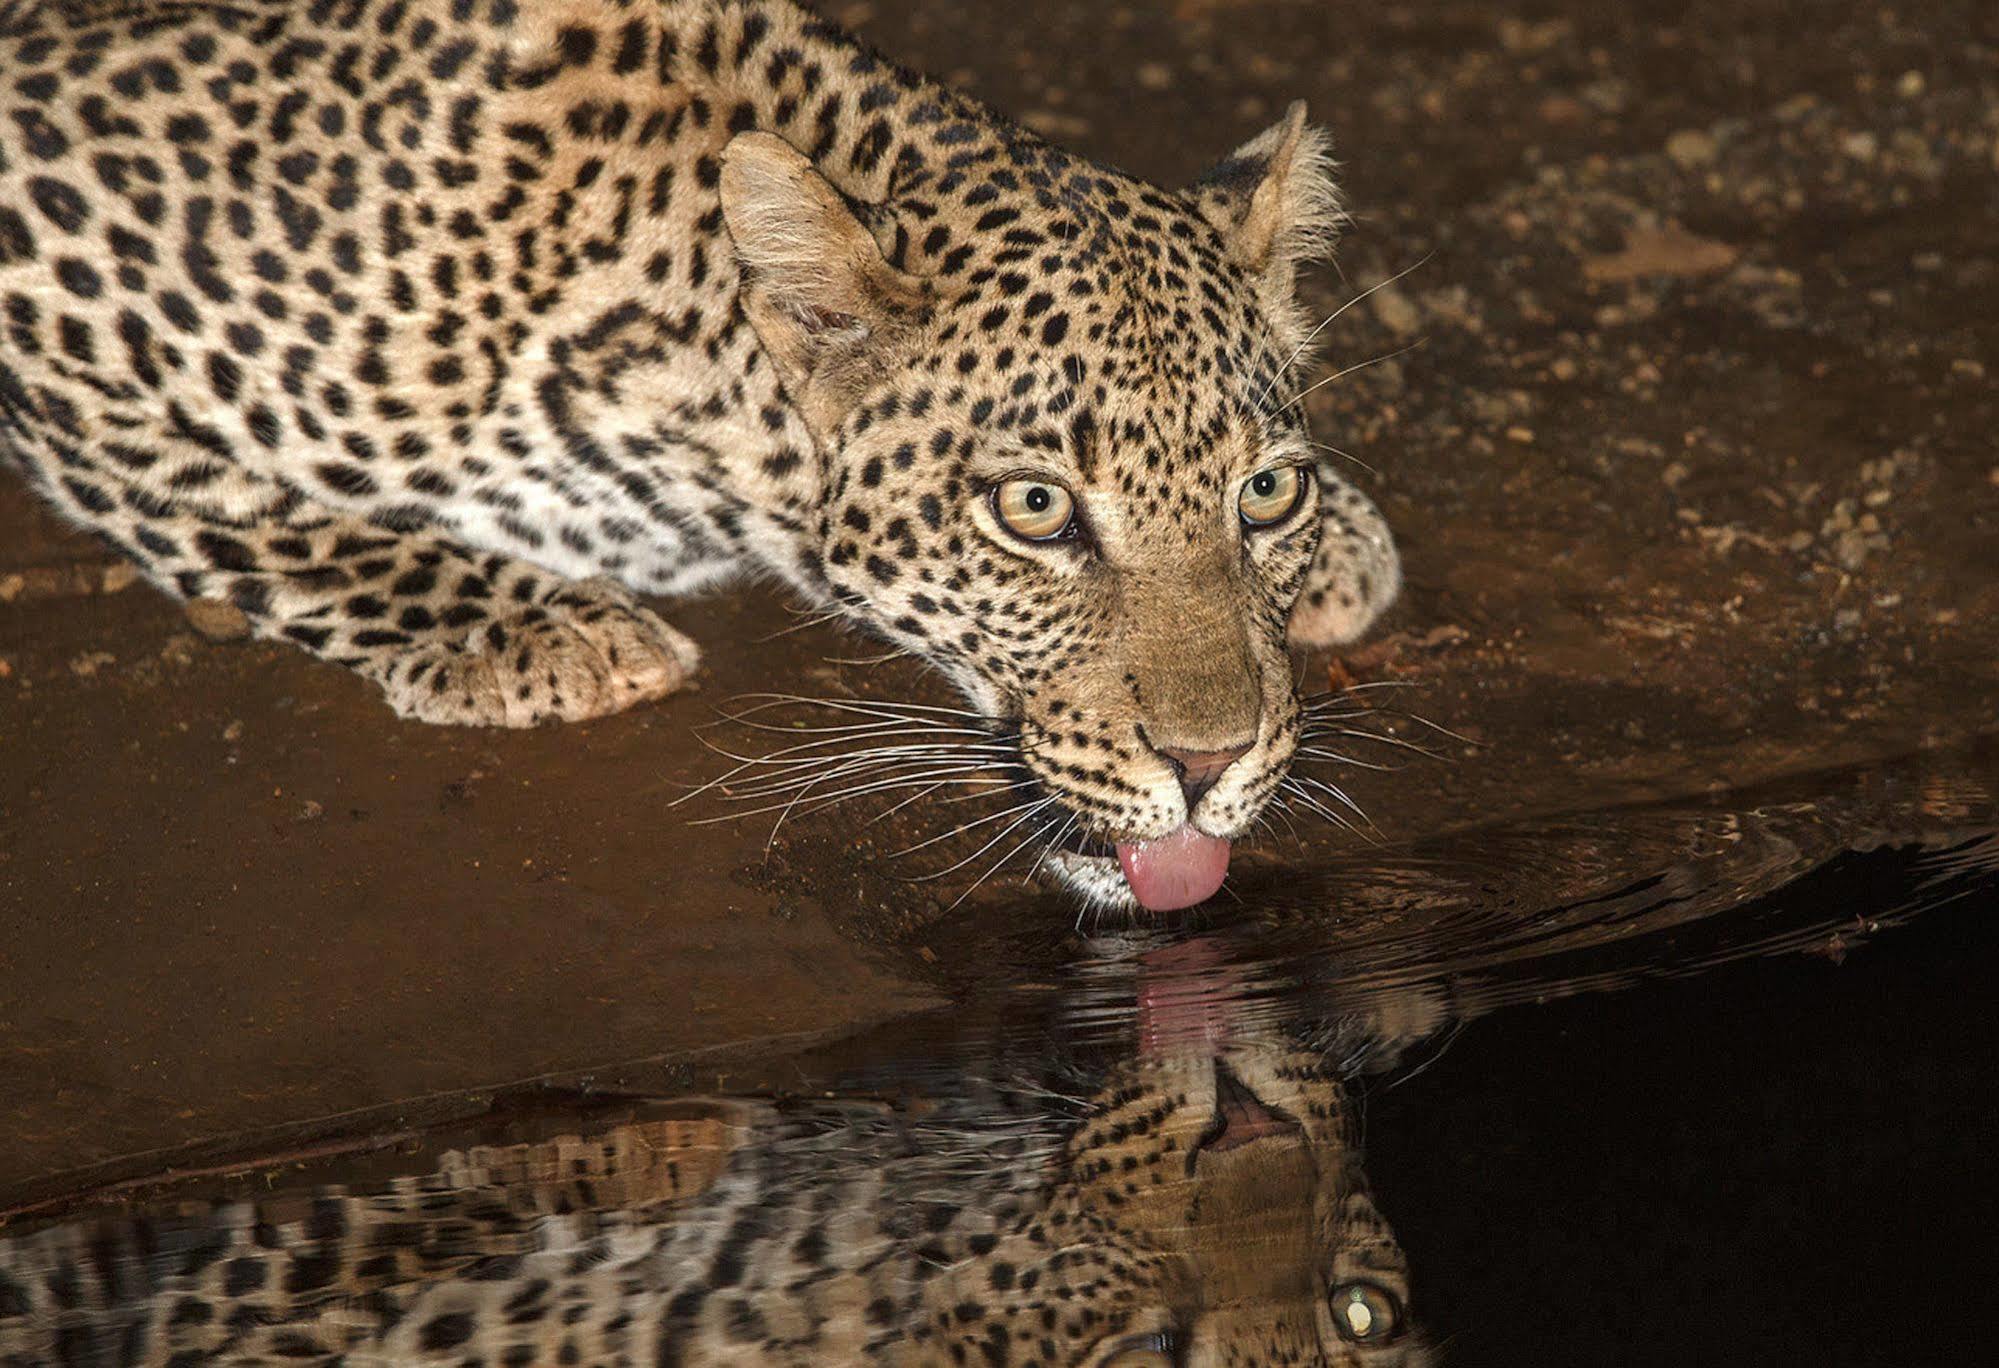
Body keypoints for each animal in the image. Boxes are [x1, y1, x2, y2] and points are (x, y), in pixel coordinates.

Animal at [0, 2, 1407, 920]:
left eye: (1265, 492)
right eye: (1034, 510)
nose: (1210, 768)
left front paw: (1341, 541)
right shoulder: (57, 240)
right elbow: (214, 494)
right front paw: (534, 632)